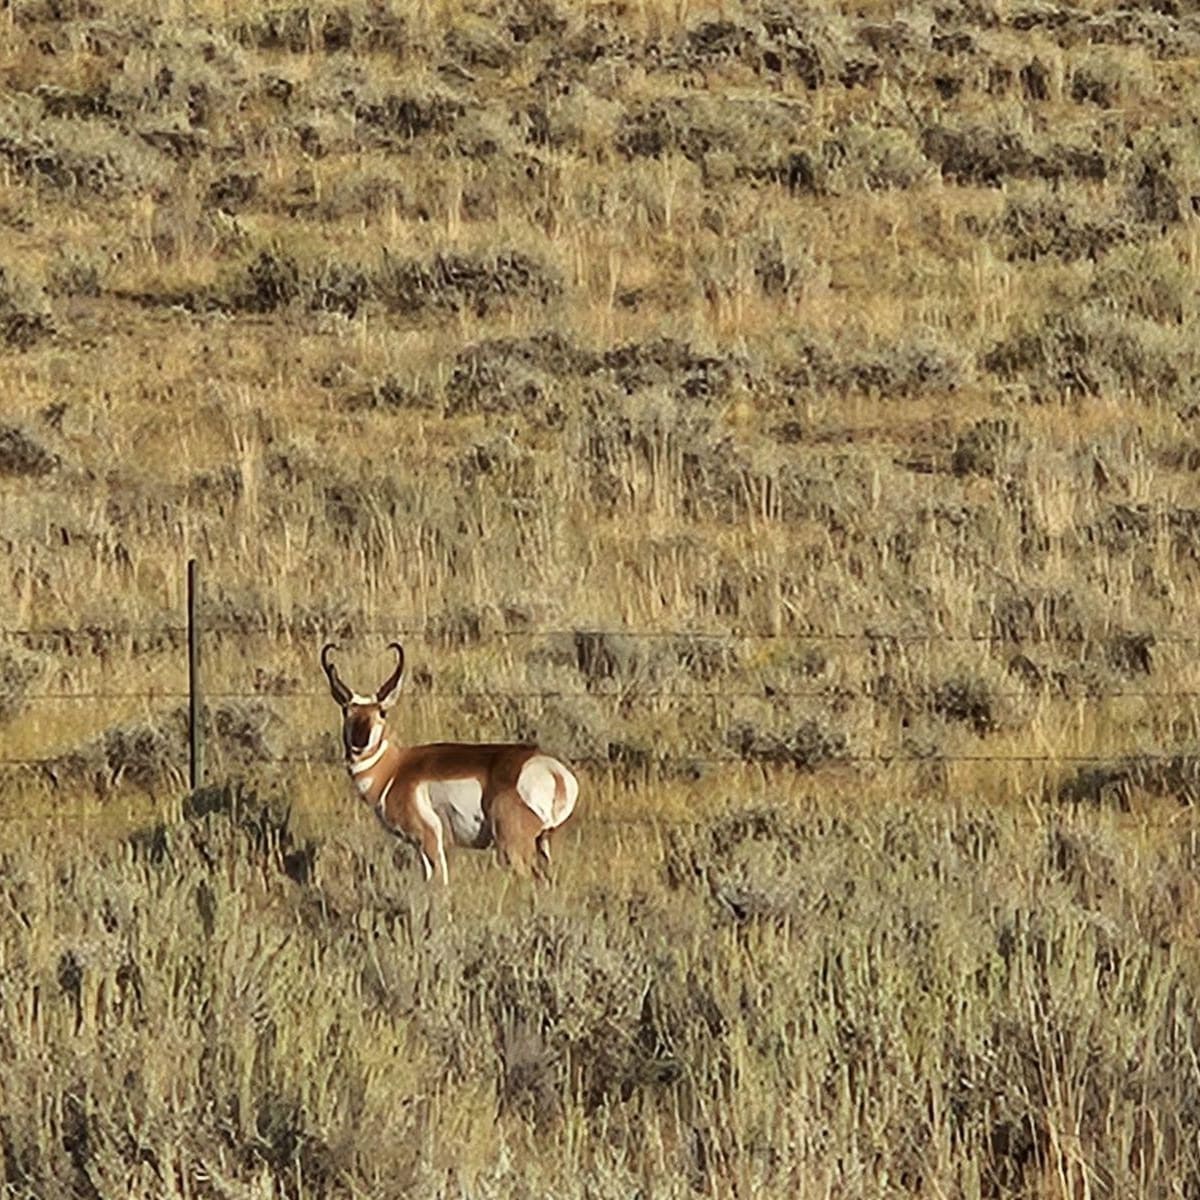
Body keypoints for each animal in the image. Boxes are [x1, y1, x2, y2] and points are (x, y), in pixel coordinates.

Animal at [321, 643, 578, 888]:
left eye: (382, 711)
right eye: (346, 710)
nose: (360, 741)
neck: (395, 770)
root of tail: (552, 770)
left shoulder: (429, 839)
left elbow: (438, 883)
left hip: (513, 848)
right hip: (543, 844)